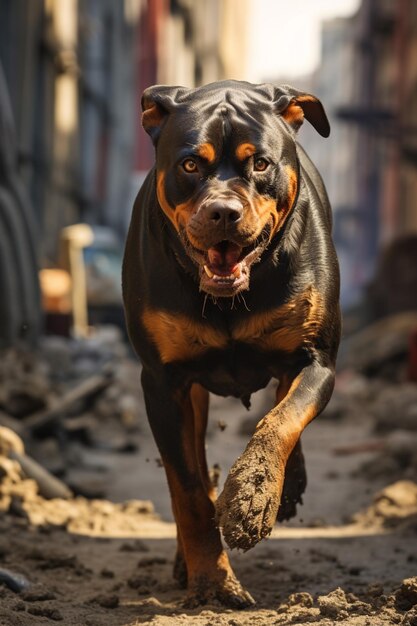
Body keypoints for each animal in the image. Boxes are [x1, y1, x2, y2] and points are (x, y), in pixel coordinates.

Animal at [122, 80, 340, 608]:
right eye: (189, 165)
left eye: (260, 163)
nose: (223, 211)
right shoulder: (163, 382)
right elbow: (187, 489)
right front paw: (212, 582)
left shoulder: (316, 358)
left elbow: (282, 419)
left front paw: (254, 493)